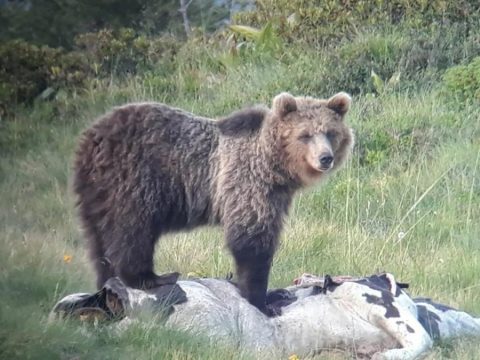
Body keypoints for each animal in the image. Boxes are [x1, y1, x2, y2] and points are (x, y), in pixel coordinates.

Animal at [73, 91, 354, 314]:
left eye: (330, 133)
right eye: (305, 135)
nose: (325, 158)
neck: (274, 166)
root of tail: (91, 138)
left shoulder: (276, 194)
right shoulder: (247, 182)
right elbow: (251, 239)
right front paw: (261, 300)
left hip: (96, 192)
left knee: (98, 240)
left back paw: (107, 280)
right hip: (134, 179)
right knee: (133, 229)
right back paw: (152, 277)